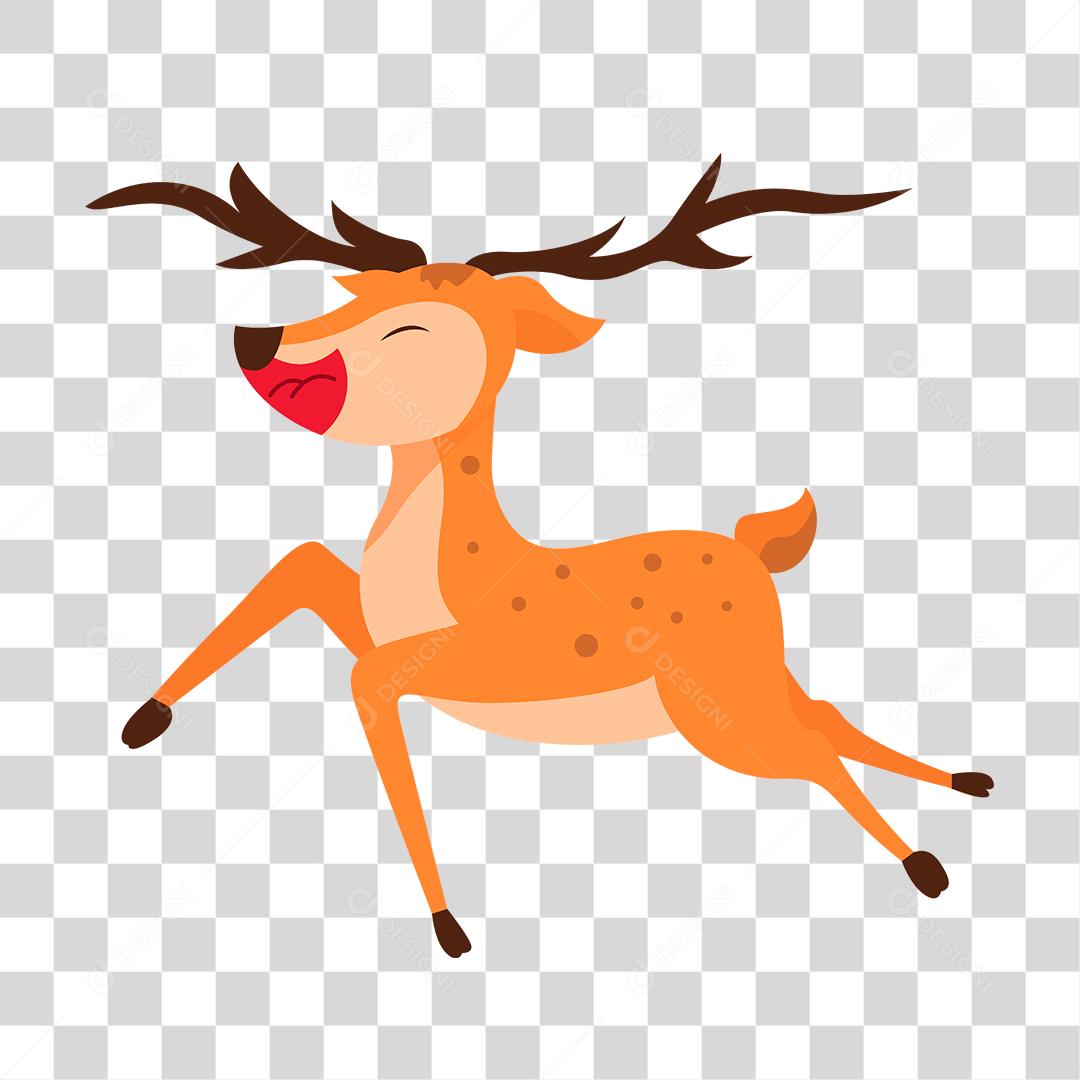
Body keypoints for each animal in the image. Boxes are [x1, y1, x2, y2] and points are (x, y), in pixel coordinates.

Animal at [89, 155, 993, 958]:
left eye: (409, 326)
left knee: (810, 749)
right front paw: (142, 720)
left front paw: (449, 928)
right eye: (368, 294)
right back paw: (964, 784)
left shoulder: (472, 663)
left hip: (720, 709)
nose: (257, 339)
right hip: (745, 684)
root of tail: (751, 550)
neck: (439, 574)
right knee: (825, 716)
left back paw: (926, 864)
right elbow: (300, 564)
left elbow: (364, 677)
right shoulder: (363, 614)